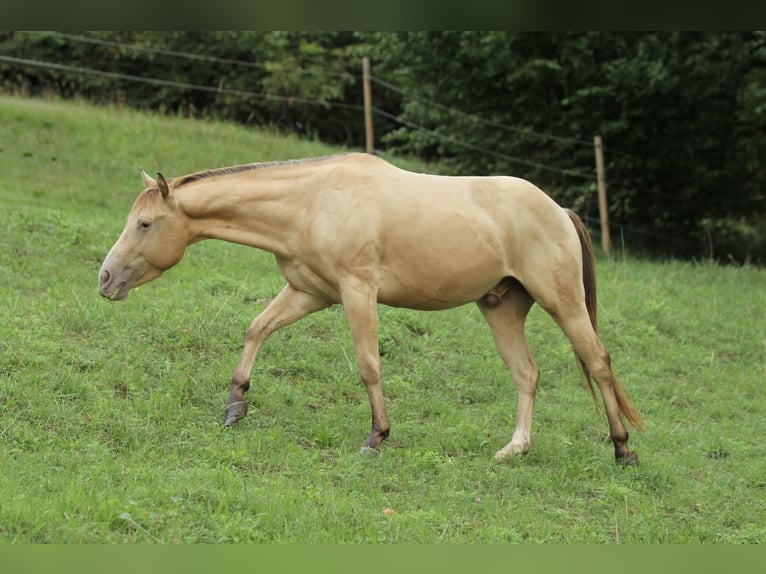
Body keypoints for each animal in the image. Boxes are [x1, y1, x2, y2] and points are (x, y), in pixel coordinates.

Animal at [98, 152, 642, 464]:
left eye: (145, 224)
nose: (105, 279)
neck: (314, 200)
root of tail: (559, 211)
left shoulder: (357, 293)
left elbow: (368, 365)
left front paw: (376, 437)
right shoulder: (309, 292)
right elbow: (256, 329)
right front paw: (236, 404)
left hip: (562, 302)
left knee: (598, 361)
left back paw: (622, 448)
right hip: (502, 308)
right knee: (527, 373)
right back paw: (514, 449)